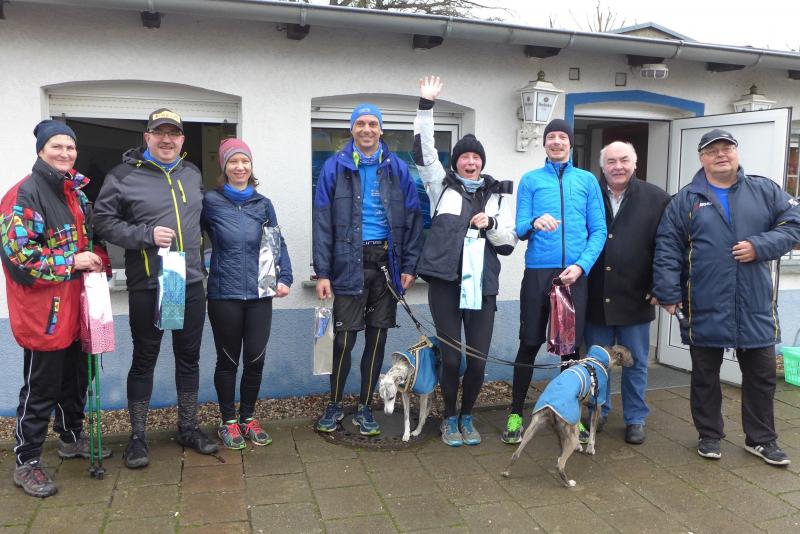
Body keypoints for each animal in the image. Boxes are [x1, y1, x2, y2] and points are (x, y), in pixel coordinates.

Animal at [501, 344, 633, 487]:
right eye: (630, 354)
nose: (634, 362)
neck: (597, 360)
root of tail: (550, 408)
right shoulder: (596, 404)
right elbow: (593, 432)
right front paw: (590, 448)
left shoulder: (579, 403)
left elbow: (579, 421)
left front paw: (581, 445)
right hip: (570, 436)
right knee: (560, 463)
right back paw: (569, 482)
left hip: (533, 428)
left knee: (516, 454)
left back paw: (506, 472)